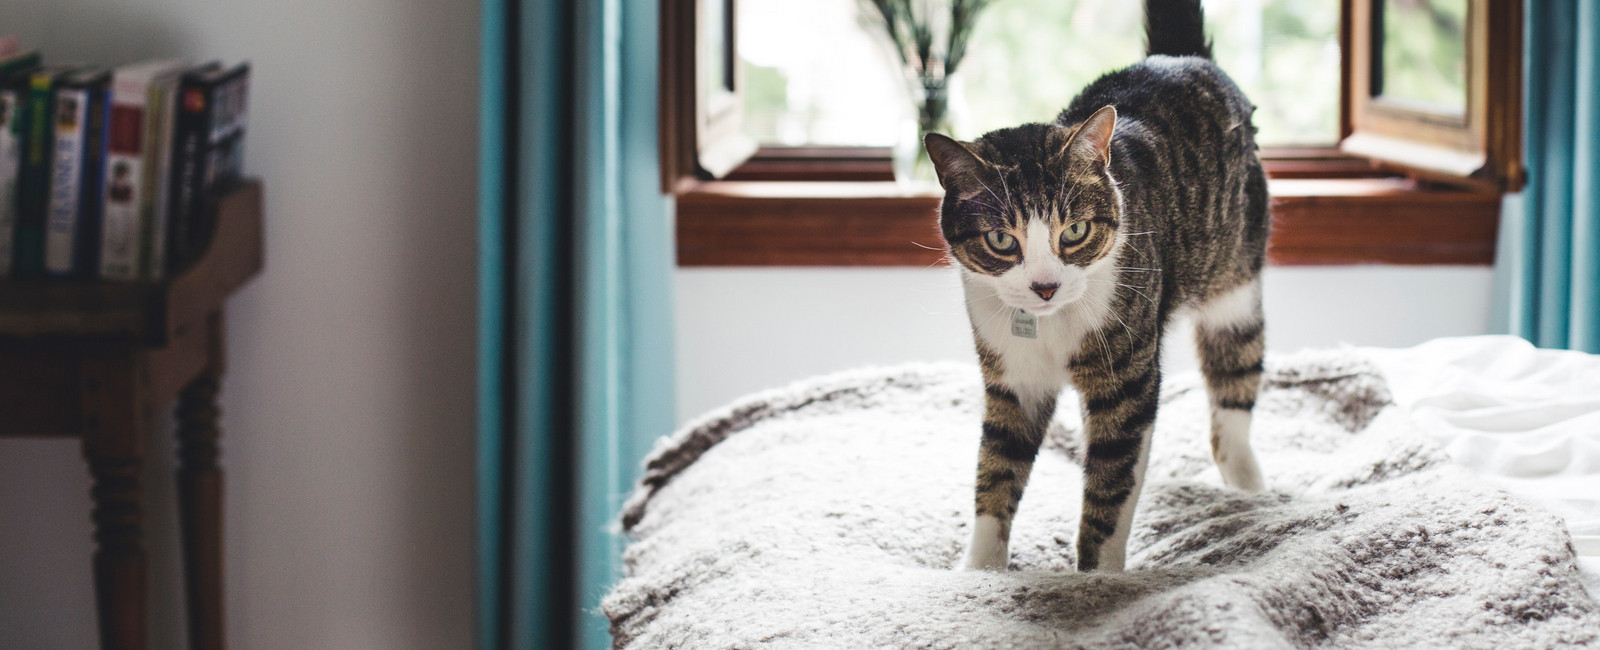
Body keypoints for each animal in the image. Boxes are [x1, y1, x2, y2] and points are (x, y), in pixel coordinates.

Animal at [934, 0, 1267, 569]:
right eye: (1001, 239)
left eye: (1075, 231)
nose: (1045, 286)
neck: (1052, 326)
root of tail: (1178, 57)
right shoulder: (1013, 380)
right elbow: (995, 471)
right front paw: (980, 572)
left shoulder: (1126, 381)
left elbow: (1111, 486)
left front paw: (1098, 581)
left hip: (1235, 282)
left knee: (1234, 386)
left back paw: (1249, 488)